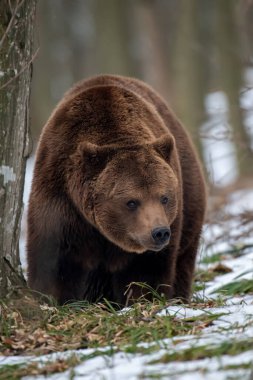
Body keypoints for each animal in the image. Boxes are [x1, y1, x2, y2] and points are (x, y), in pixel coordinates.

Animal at [26, 74, 207, 306]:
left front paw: (144, 298)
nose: (159, 232)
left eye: (164, 197)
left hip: (191, 202)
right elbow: (54, 264)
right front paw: (54, 300)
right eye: (131, 201)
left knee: (184, 260)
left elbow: (147, 270)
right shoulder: (61, 201)